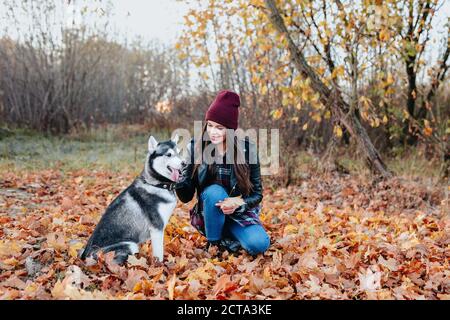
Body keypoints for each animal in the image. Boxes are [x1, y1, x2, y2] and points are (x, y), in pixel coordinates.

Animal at [80, 134, 185, 264]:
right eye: (169, 154)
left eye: (179, 152)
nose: (184, 163)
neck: (156, 185)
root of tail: (85, 256)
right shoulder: (157, 228)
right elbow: (159, 254)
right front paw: (160, 266)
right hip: (129, 245)